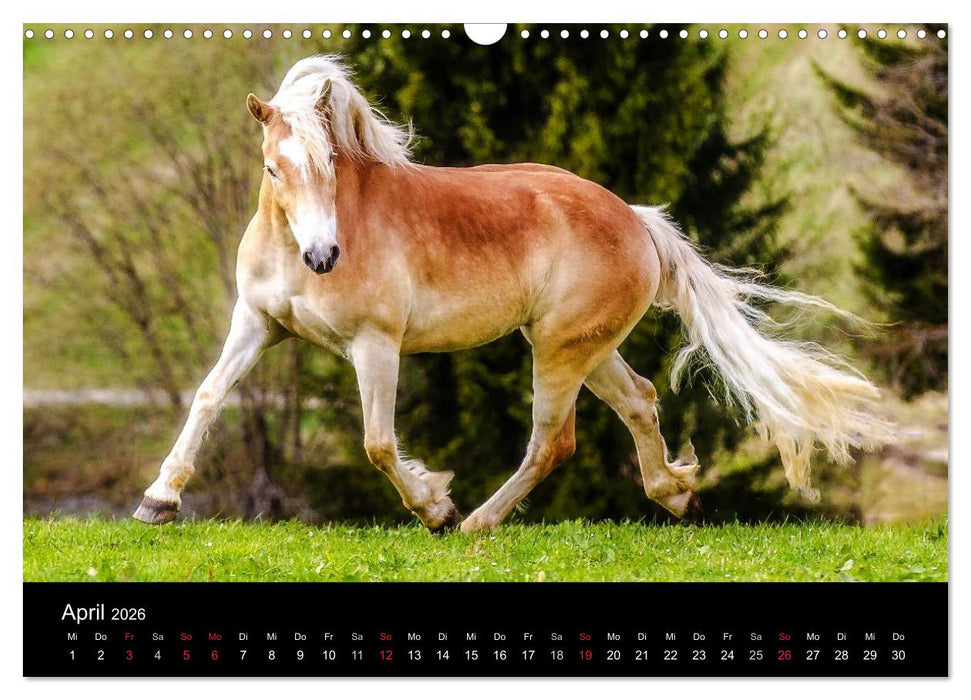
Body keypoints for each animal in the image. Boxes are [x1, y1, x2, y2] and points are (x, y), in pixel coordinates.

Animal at [133, 55, 892, 533]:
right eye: (272, 167)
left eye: (331, 168)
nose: (323, 256)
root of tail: (636, 220)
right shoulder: (256, 324)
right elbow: (208, 396)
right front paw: (158, 500)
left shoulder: (375, 345)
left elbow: (378, 443)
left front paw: (433, 508)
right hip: (582, 348)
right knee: (639, 401)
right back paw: (676, 498)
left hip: (558, 352)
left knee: (550, 442)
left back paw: (475, 522)